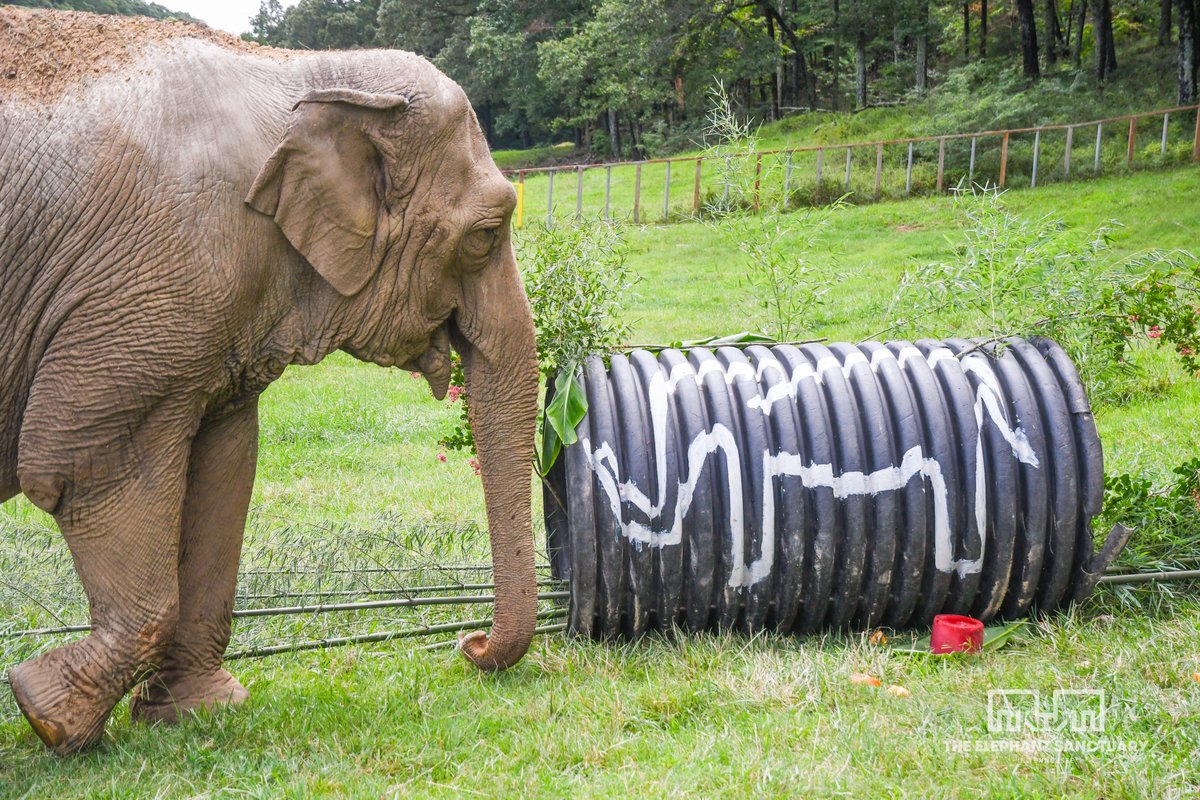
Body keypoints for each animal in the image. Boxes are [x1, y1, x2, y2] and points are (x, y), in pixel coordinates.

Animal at [0, 8, 539, 753]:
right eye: (485, 235)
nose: (472, 644)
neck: (301, 71)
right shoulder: (148, 289)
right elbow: (81, 466)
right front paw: (46, 715)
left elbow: (225, 463)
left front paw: (199, 711)